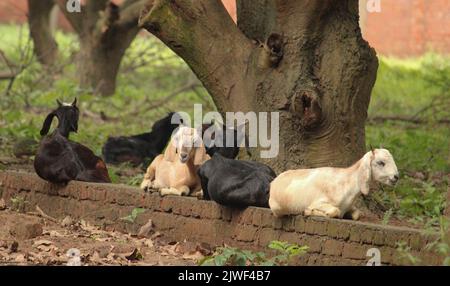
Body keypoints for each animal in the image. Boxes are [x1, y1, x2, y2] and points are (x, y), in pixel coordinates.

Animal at [268, 149, 398, 220]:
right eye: (381, 162)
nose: (396, 177)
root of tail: (274, 182)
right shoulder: (318, 202)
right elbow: (335, 211)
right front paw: (309, 212)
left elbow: (357, 214)